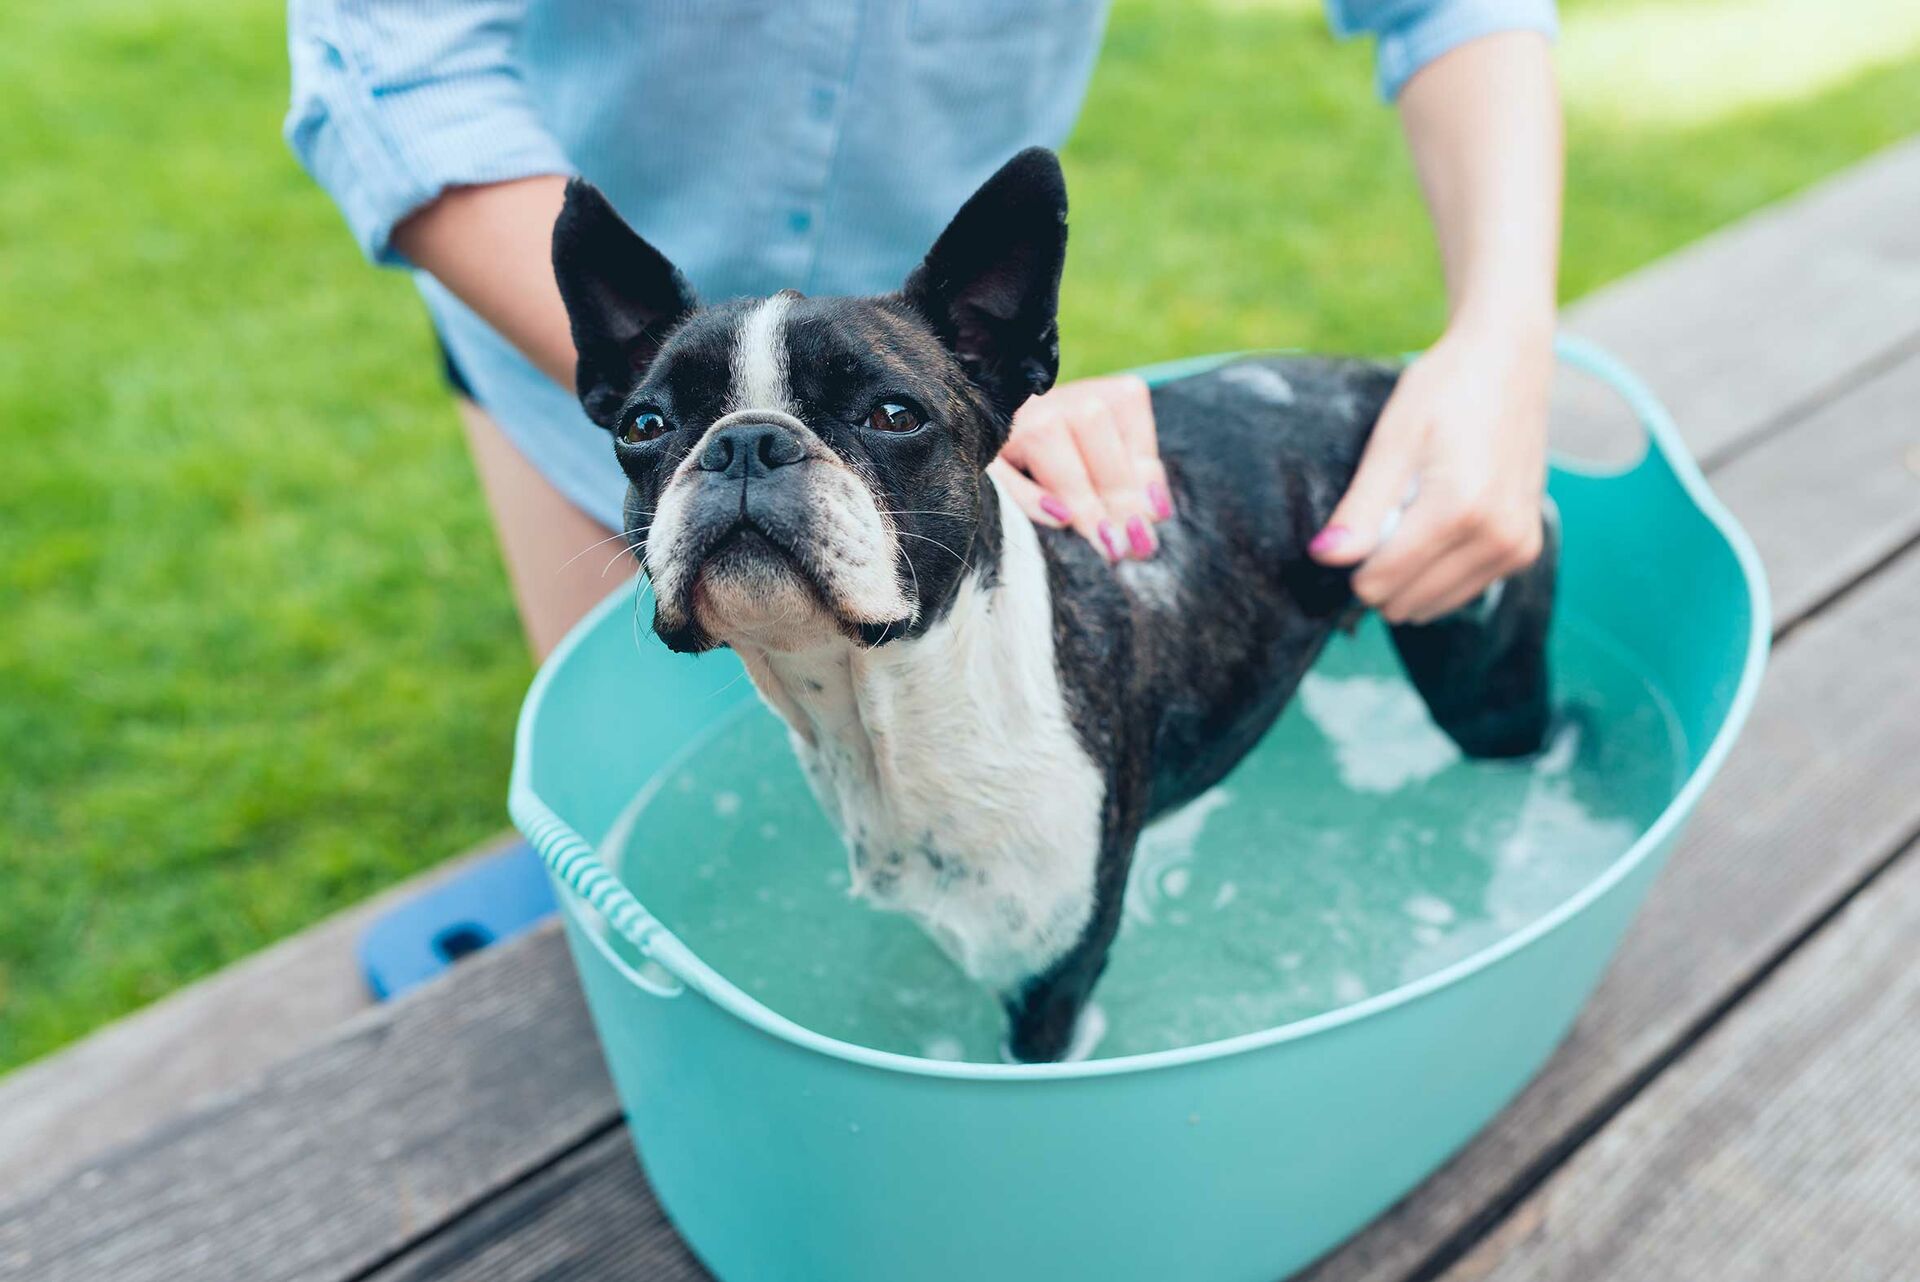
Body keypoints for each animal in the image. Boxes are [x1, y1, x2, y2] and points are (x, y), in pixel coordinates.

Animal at [549, 147, 1551, 1059]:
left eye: (893, 415)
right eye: (644, 426)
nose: (746, 442)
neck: (892, 704)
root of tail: (1390, 380)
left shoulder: (1051, 982)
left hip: (1482, 682)